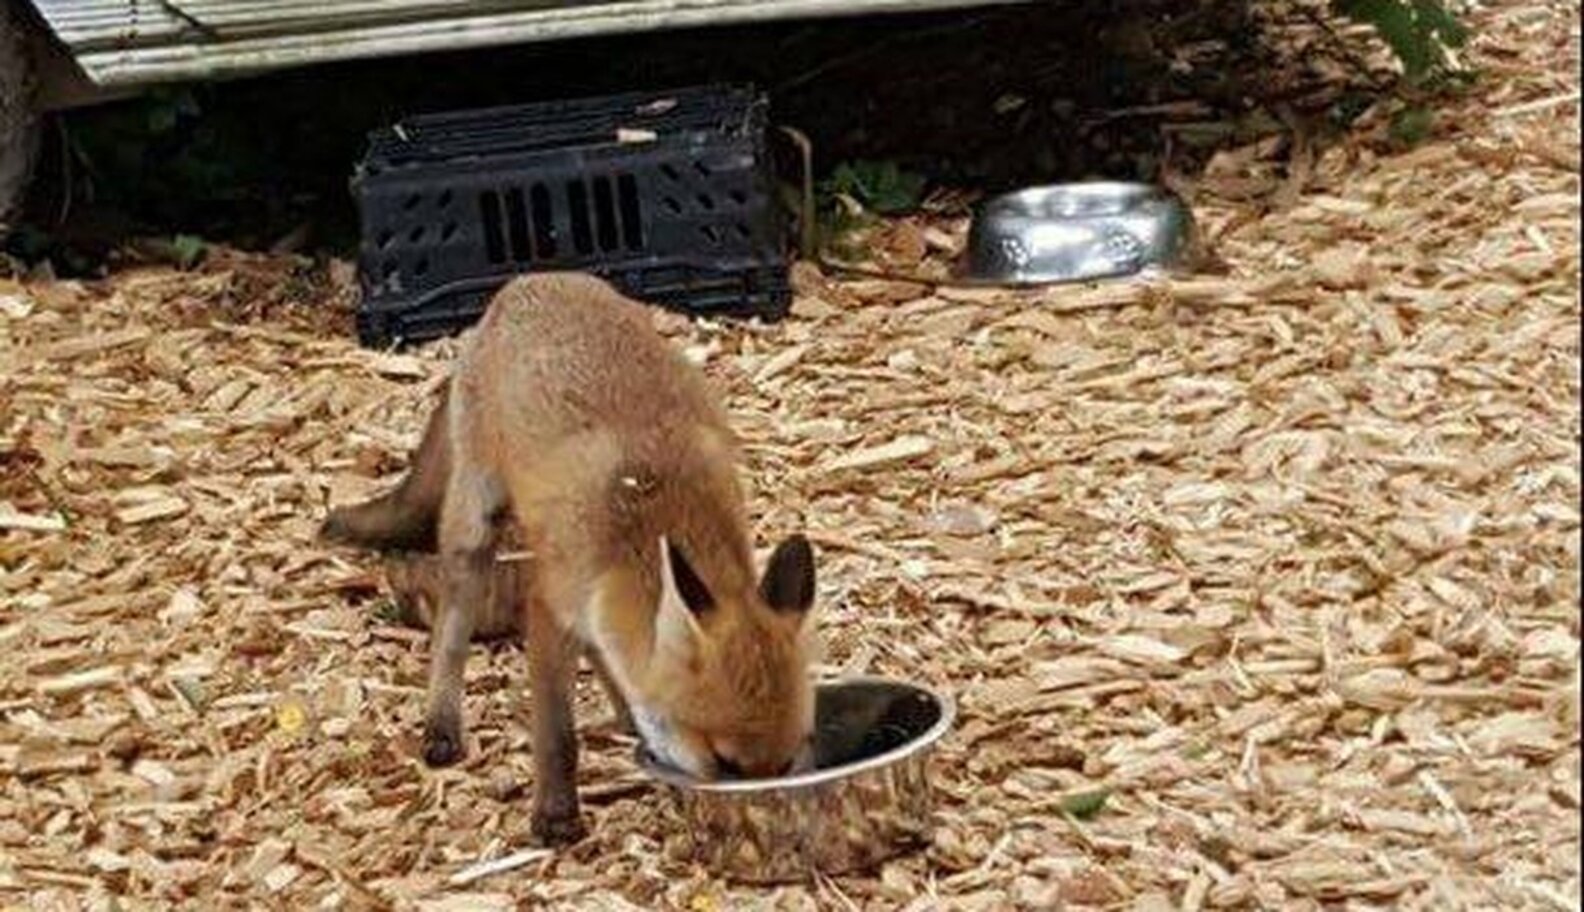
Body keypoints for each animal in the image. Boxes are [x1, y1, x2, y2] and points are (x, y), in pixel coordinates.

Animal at [320, 272, 818, 844]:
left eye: (786, 762)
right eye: (727, 763)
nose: (770, 822)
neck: (653, 515)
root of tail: (528, 280)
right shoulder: (548, 607)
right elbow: (558, 736)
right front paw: (557, 816)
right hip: (475, 521)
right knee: (450, 630)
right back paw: (442, 723)